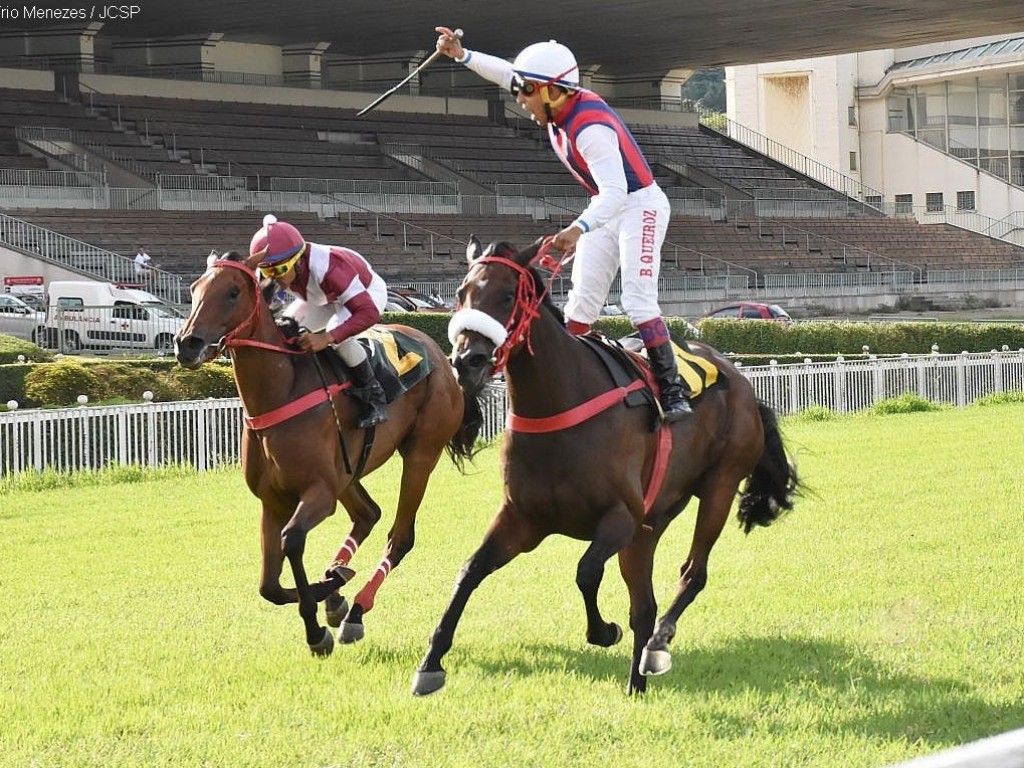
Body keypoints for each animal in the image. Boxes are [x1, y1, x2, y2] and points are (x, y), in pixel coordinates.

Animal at [175, 250, 479, 655]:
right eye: (194, 288)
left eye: (233, 291)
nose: (187, 343)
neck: (281, 390)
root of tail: (440, 356)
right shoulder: (273, 502)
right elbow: (268, 587)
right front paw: (330, 587)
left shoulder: (318, 492)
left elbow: (292, 540)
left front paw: (316, 629)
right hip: (347, 473)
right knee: (368, 514)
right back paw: (337, 587)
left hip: (419, 456)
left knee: (400, 537)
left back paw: (356, 611)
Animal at [411, 239, 802, 696]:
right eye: (460, 294)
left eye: (507, 296)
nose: (466, 361)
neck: (559, 405)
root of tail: (741, 382)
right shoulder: (523, 519)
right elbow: (470, 571)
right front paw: (430, 663)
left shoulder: (620, 517)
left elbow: (586, 571)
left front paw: (602, 631)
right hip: (652, 523)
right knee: (644, 603)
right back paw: (637, 679)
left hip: (717, 489)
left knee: (692, 574)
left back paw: (658, 643)